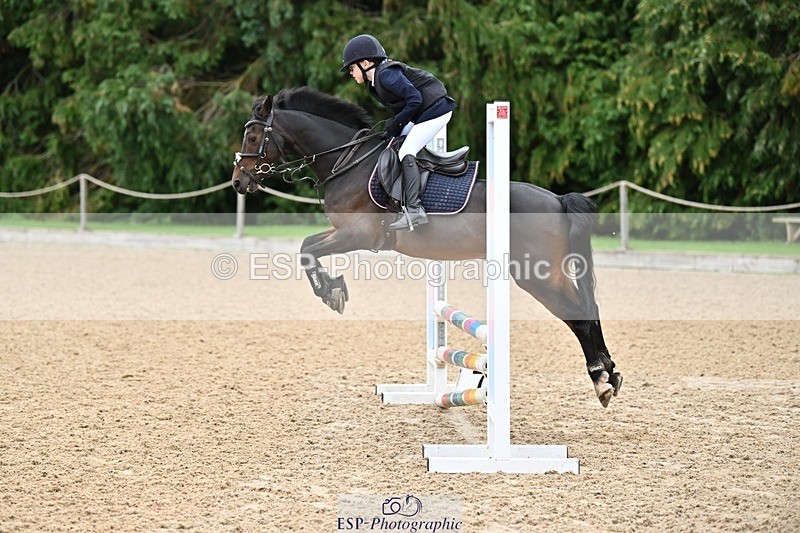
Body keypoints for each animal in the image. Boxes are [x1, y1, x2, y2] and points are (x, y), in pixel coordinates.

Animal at [231, 87, 622, 407]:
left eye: (252, 136)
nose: (238, 182)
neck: (348, 162)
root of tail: (557, 200)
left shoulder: (356, 234)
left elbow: (307, 250)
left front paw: (332, 293)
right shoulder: (344, 232)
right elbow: (306, 246)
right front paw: (333, 289)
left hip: (536, 275)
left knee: (579, 315)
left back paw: (600, 378)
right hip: (548, 273)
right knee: (589, 309)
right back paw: (609, 375)